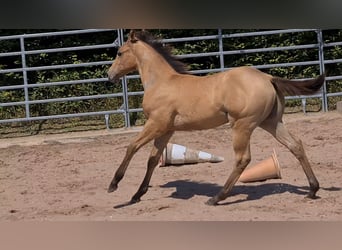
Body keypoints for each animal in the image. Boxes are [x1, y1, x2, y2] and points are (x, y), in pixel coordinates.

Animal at [106, 29, 324, 205]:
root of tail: (268, 78)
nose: (110, 75)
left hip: (242, 125)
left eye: (119, 53)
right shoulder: (167, 130)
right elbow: (152, 160)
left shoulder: (156, 124)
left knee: (243, 158)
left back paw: (217, 197)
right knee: (296, 145)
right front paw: (137, 195)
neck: (161, 82)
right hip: (271, 122)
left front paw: (114, 184)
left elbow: (132, 147)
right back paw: (312, 189)